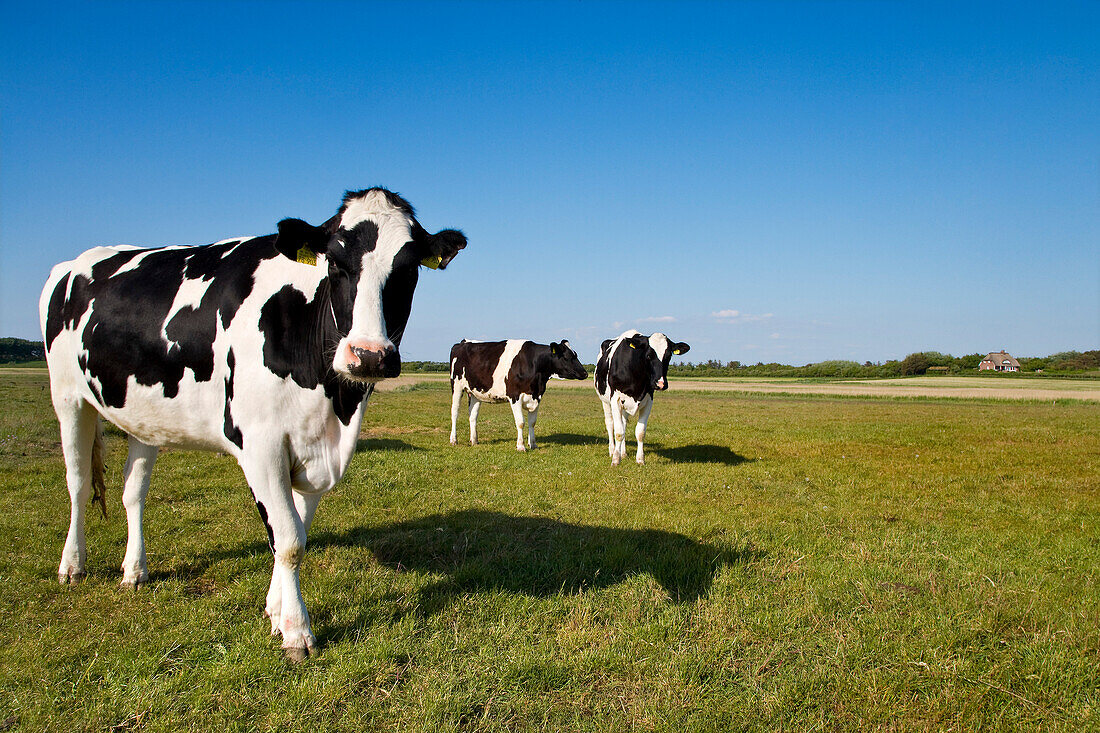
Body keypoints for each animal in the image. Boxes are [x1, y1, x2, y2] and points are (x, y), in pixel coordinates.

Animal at [39, 187, 464, 655]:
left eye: (408, 269)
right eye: (335, 263)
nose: (369, 356)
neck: (333, 404)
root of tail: (77, 261)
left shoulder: (316, 449)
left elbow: (294, 531)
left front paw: (275, 610)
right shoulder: (260, 445)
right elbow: (288, 539)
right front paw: (296, 631)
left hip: (144, 415)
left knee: (133, 492)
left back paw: (134, 570)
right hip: (68, 398)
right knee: (78, 484)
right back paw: (72, 565)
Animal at [446, 338, 589, 449]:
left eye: (576, 355)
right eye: (567, 357)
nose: (585, 373)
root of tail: (463, 342)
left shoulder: (537, 397)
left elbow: (532, 422)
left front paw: (533, 444)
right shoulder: (515, 396)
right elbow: (521, 422)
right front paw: (521, 446)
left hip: (475, 392)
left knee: (473, 415)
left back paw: (474, 440)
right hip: (456, 386)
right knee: (455, 412)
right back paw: (453, 440)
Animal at [594, 330, 686, 462]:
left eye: (668, 356)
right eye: (648, 356)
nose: (661, 383)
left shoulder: (648, 400)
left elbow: (640, 432)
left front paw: (640, 459)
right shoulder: (615, 399)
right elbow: (618, 432)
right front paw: (616, 460)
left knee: (624, 423)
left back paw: (623, 452)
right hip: (605, 401)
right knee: (610, 424)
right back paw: (612, 450)